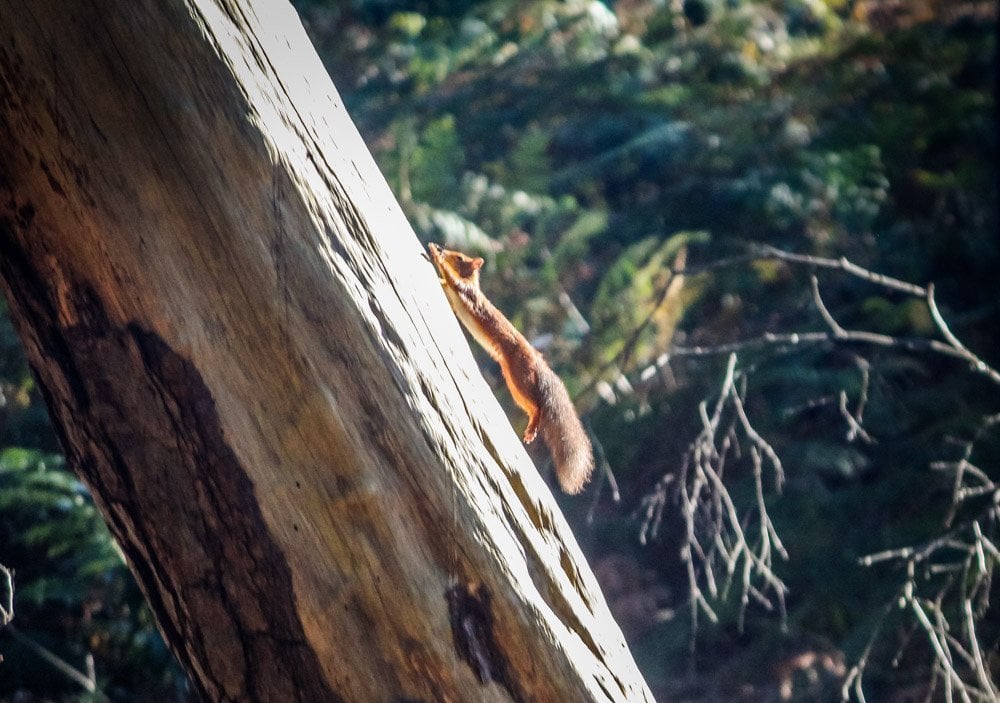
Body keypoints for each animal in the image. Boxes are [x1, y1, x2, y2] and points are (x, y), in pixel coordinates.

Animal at [426, 245, 588, 492]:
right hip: (513, 382)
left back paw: (533, 425)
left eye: (460, 258)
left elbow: (454, 282)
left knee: (538, 405)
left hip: (520, 376)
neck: (472, 283)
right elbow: (447, 286)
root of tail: (538, 363)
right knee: (531, 405)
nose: (445, 249)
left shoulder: (467, 293)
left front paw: (436, 254)